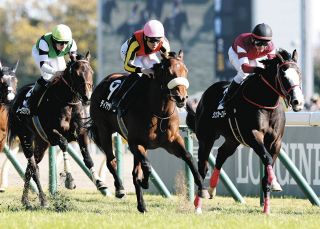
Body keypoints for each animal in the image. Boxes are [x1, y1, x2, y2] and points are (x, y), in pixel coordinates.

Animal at [8, 52, 105, 208]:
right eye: (77, 74)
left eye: (91, 72)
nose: (87, 97)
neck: (68, 103)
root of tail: (16, 100)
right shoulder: (52, 133)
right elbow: (64, 144)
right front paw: (69, 180)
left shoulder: (80, 134)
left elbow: (88, 158)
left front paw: (100, 183)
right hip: (25, 137)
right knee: (34, 168)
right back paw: (43, 200)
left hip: (41, 143)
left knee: (30, 168)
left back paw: (26, 200)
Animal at [89, 50, 206, 213]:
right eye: (169, 72)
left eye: (186, 70)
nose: (181, 97)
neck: (159, 112)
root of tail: (102, 82)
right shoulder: (136, 143)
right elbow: (147, 166)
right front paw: (144, 182)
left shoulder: (172, 142)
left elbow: (188, 157)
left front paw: (202, 187)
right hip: (104, 130)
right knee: (111, 161)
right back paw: (120, 189)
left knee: (133, 172)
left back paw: (141, 205)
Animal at [186, 48, 304, 215]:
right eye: (284, 76)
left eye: (299, 74)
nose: (298, 102)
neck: (265, 103)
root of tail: (204, 96)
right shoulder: (253, 135)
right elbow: (267, 158)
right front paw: (275, 183)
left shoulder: (276, 142)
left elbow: (267, 171)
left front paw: (267, 207)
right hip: (206, 138)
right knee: (202, 167)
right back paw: (198, 204)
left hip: (233, 139)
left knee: (221, 154)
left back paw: (212, 189)